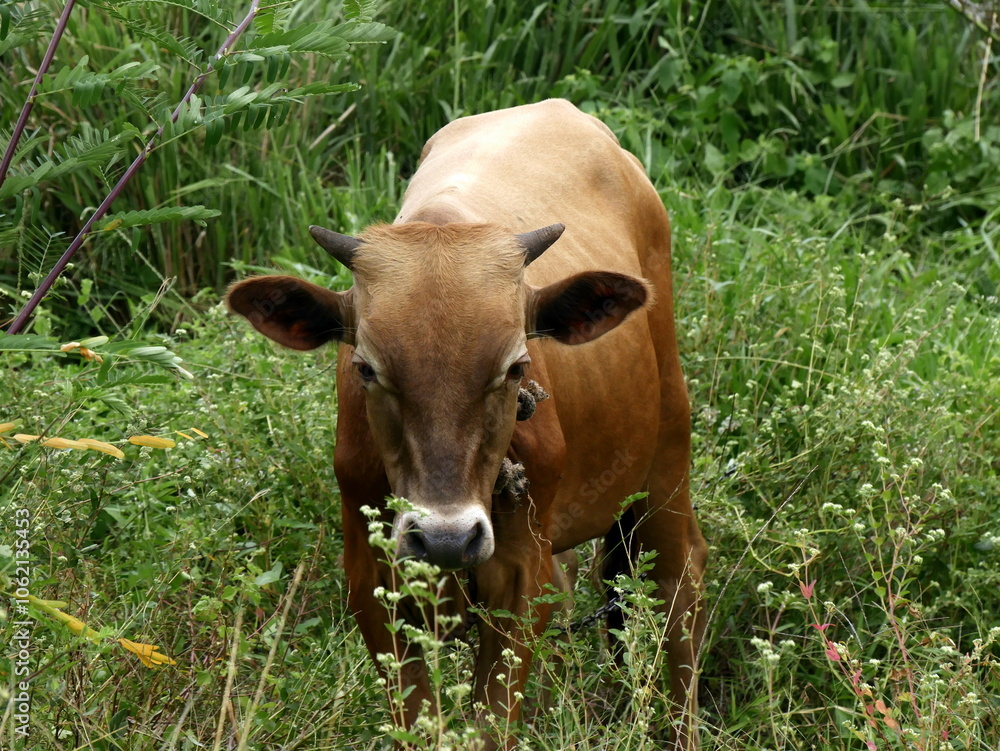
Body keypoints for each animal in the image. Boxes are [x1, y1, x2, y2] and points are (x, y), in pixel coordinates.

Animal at [226, 99, 708, 749]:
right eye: (365, 368)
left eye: (516, 365)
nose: (447, 538)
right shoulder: (374, 583)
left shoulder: (522, 581)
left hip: (666, 460)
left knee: (676, 585)